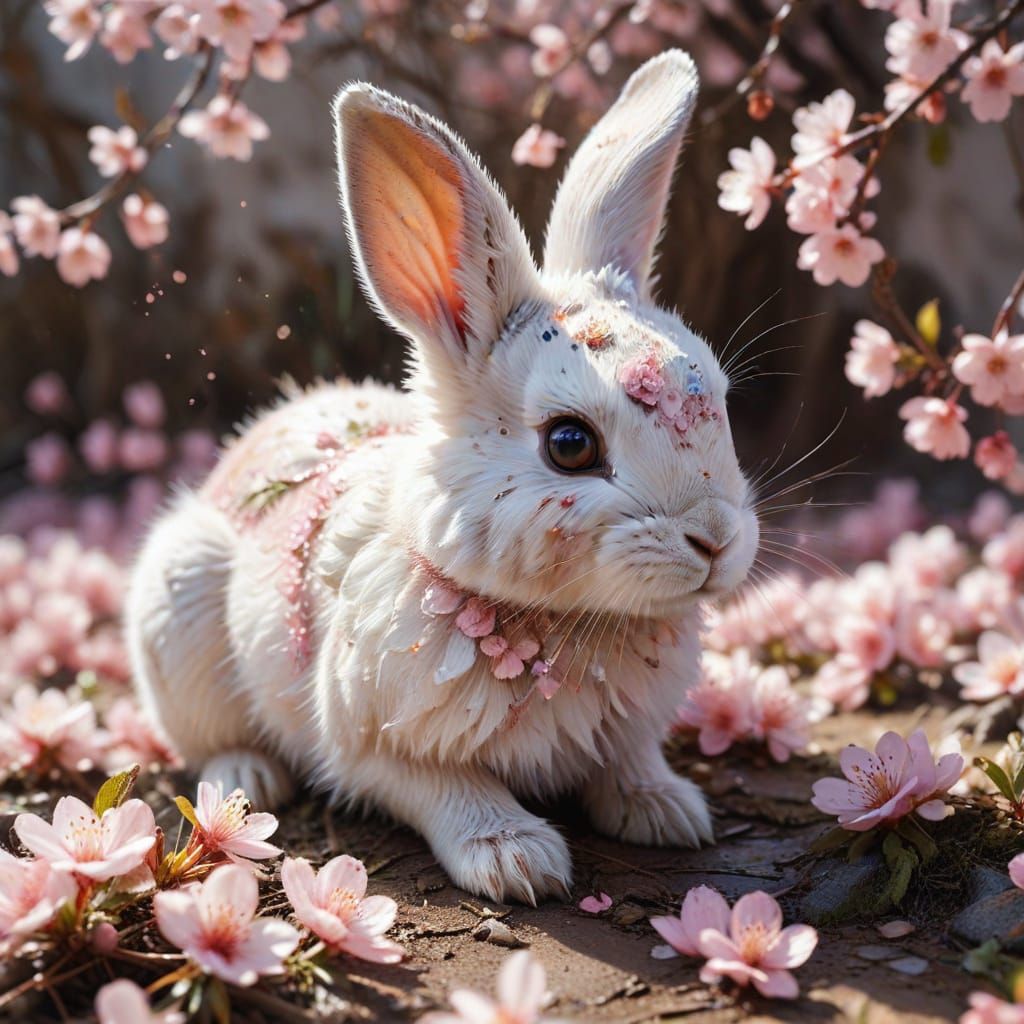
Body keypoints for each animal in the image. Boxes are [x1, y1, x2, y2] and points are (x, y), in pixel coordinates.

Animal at [127, 48, 760, 905]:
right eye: (570, 444)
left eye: (720, 400)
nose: (716, 540)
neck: (563, 625)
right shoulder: (375, 746)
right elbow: (443, 788)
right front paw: (518, 860)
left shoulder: (625, 734)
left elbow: (628, 765)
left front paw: (668, 811)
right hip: (181, 605)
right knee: (209, 742)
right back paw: (246, 784)